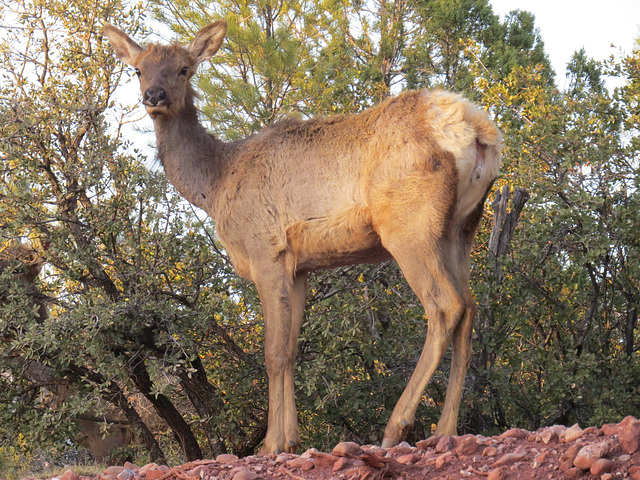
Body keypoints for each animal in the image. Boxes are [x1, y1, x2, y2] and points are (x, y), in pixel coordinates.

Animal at [105, 20, 502, 456]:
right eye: (138, 70)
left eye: (184, 69)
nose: (154, 96)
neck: (215, 184)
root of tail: (476, 130)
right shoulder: (299, 266)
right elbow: (293, 349)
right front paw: (291, 438)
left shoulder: (266, 249)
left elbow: (273, 351)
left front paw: (270, 444)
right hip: (462, 227)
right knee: (470, 307)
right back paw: (446, 429)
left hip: (409, 224)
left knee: (445, 305)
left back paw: (396, 427)